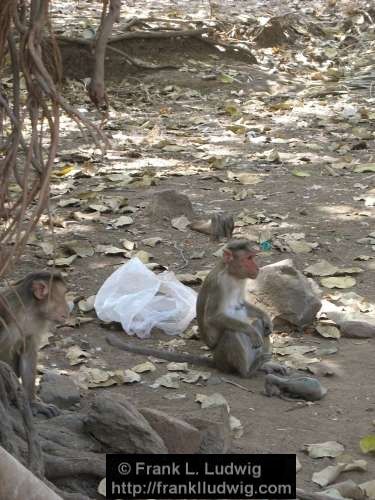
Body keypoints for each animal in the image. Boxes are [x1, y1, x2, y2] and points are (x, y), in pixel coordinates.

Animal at [0, 272, 70, 416]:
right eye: (63, 294)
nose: (68, 309)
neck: (29, 310)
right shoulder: (5, 310)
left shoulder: (35, 325)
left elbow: (28, 353)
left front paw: (33, 403)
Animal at [106, 240, 288, 376]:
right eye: (249, 258)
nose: (257, 268)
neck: (231, 274)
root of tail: (216, 361)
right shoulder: (219, 285)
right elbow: (213, 317)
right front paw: (251, 331)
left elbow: (243, 304)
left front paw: (265, 317)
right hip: (223, 358)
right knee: (231, 332)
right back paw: (249, 370)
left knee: (260, 326)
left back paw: (264, 362)